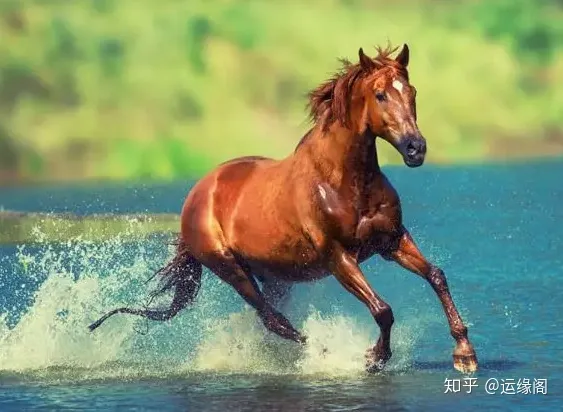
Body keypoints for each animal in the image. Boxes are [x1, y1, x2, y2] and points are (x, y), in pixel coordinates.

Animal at [90, 44, 478, 374]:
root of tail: (196, 195)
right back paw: (322, 352)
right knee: (273, 319)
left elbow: (436, 276)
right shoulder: (338, 256)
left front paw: (464, 354)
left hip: (273, 274)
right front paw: (374, 358)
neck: (343, 181)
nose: (416, 148)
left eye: (412, 93)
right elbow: (382, 310)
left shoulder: (391, 240)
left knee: (271, 319)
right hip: (230, 268)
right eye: (380, 94)